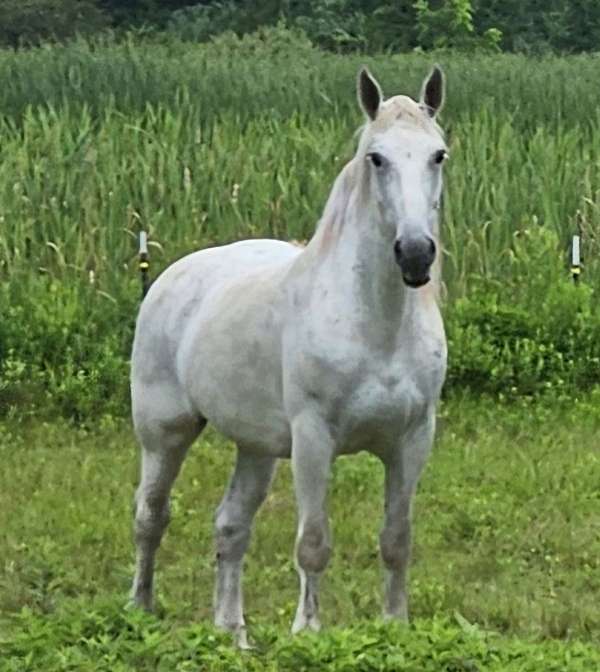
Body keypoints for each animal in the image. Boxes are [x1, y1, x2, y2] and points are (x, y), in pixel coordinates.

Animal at [132, 67, 450, 644]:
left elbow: (397, 540)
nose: (415, 254)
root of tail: (171, 277)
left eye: (438, 155)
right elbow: (313, 543)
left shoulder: (413, 440)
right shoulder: (313, 439)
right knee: (151, 516)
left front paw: (395, 625)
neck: (376, 326)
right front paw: (308, 632)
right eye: (377, 158)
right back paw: (139, 608)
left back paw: (233, 633)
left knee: (230, 527)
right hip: (164, 434)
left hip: (256, 449)